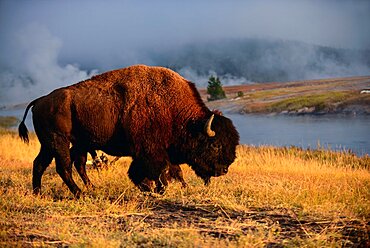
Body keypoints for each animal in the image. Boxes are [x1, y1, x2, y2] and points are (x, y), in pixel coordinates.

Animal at [19, 64, 240, 198]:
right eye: (216, 145)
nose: (224, 169)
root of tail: (40, 100)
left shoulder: (154, 152)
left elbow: (167, 171)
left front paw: (154, 189)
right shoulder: (150, 151)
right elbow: (160, 171)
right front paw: (156, 190)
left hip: (58, 143)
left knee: (45, 163)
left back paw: (42, 192)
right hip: (59, 141)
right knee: (63, 166)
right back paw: (80, 193)